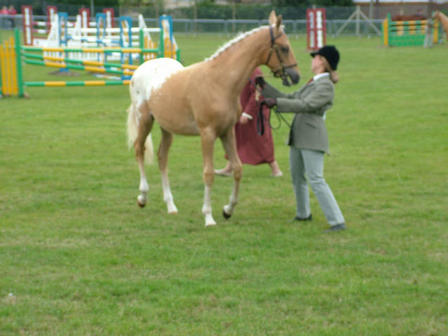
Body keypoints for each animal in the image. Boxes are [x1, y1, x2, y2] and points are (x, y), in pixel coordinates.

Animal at [128, 11, 300, 226]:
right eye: (284, 48)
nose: (295, 76)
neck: (219, 82)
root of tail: (140, 69)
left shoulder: (227, 132)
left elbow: (238, 168)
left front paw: (228, 210)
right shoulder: (207, 134)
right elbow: (208, 173)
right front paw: (208, 216)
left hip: (167, 128)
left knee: (162, 158)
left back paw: (171, 206)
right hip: (145, 120)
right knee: (139, 150)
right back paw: (142, 197)